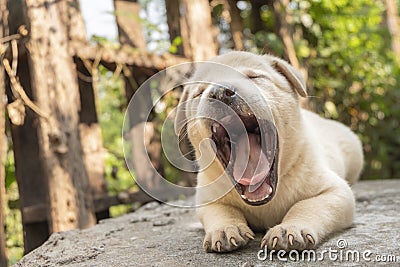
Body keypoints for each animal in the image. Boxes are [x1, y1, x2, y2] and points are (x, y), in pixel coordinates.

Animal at [173, 51, 364, 253]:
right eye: (199, 92)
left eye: (254, 77)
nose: (219, 92)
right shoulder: (208, 200)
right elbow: (221, 211)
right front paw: (226, 229)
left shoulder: (335, 191)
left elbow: (307, 206)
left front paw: (290, 229)